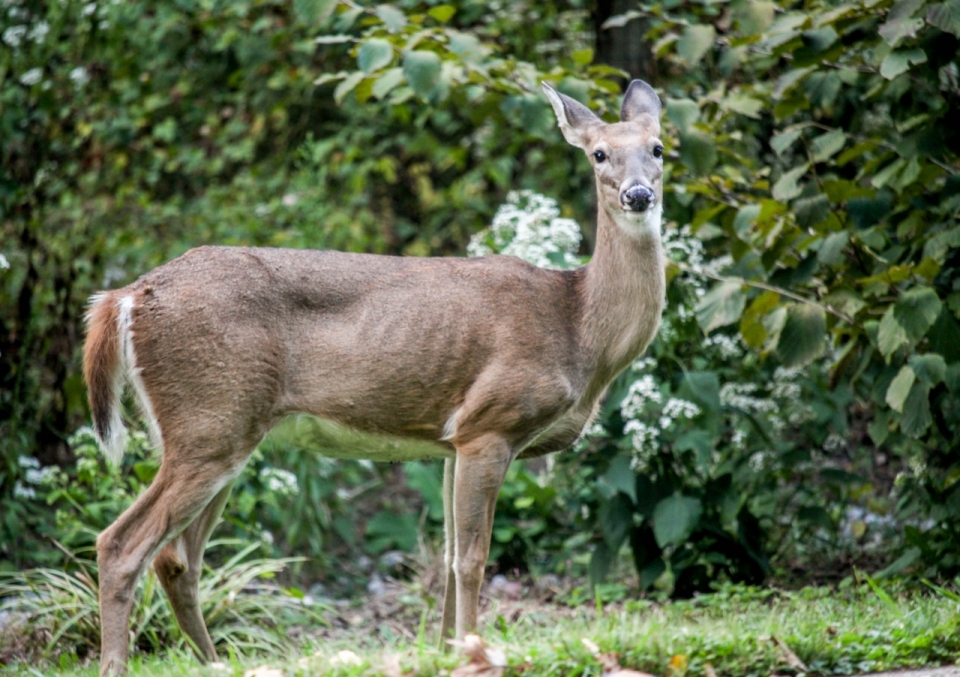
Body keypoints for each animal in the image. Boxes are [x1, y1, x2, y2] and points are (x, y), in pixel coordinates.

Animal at [82, 78, 664, 672]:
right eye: (599, 154)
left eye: (659, 149)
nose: (638, 194)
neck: (576, 324)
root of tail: (125, 297)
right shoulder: (490, 424)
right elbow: (472, 558)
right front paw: (475, 650)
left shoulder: (452, 440)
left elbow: (449, 554)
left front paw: (444, 648)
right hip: (210, 419)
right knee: (121, 545)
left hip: (218, 432)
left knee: (177, 559)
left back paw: (217, 661)